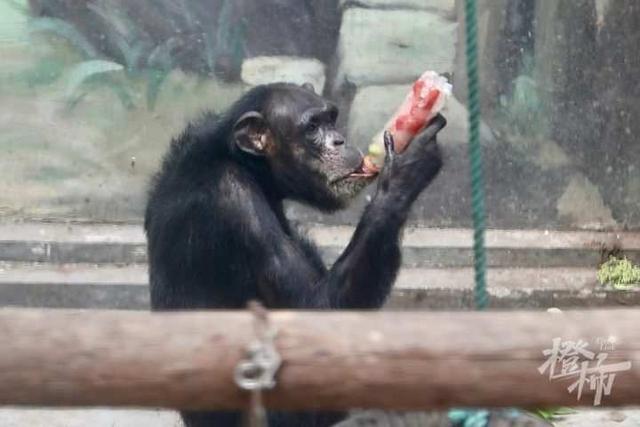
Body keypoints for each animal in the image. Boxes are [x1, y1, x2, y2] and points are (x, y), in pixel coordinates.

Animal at [145, 82, 444, 426]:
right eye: (312, 127)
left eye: (331, 119)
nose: (340, 139)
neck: (248, 167)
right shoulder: (235, 204)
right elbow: (313, 311)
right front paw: (405, 170)